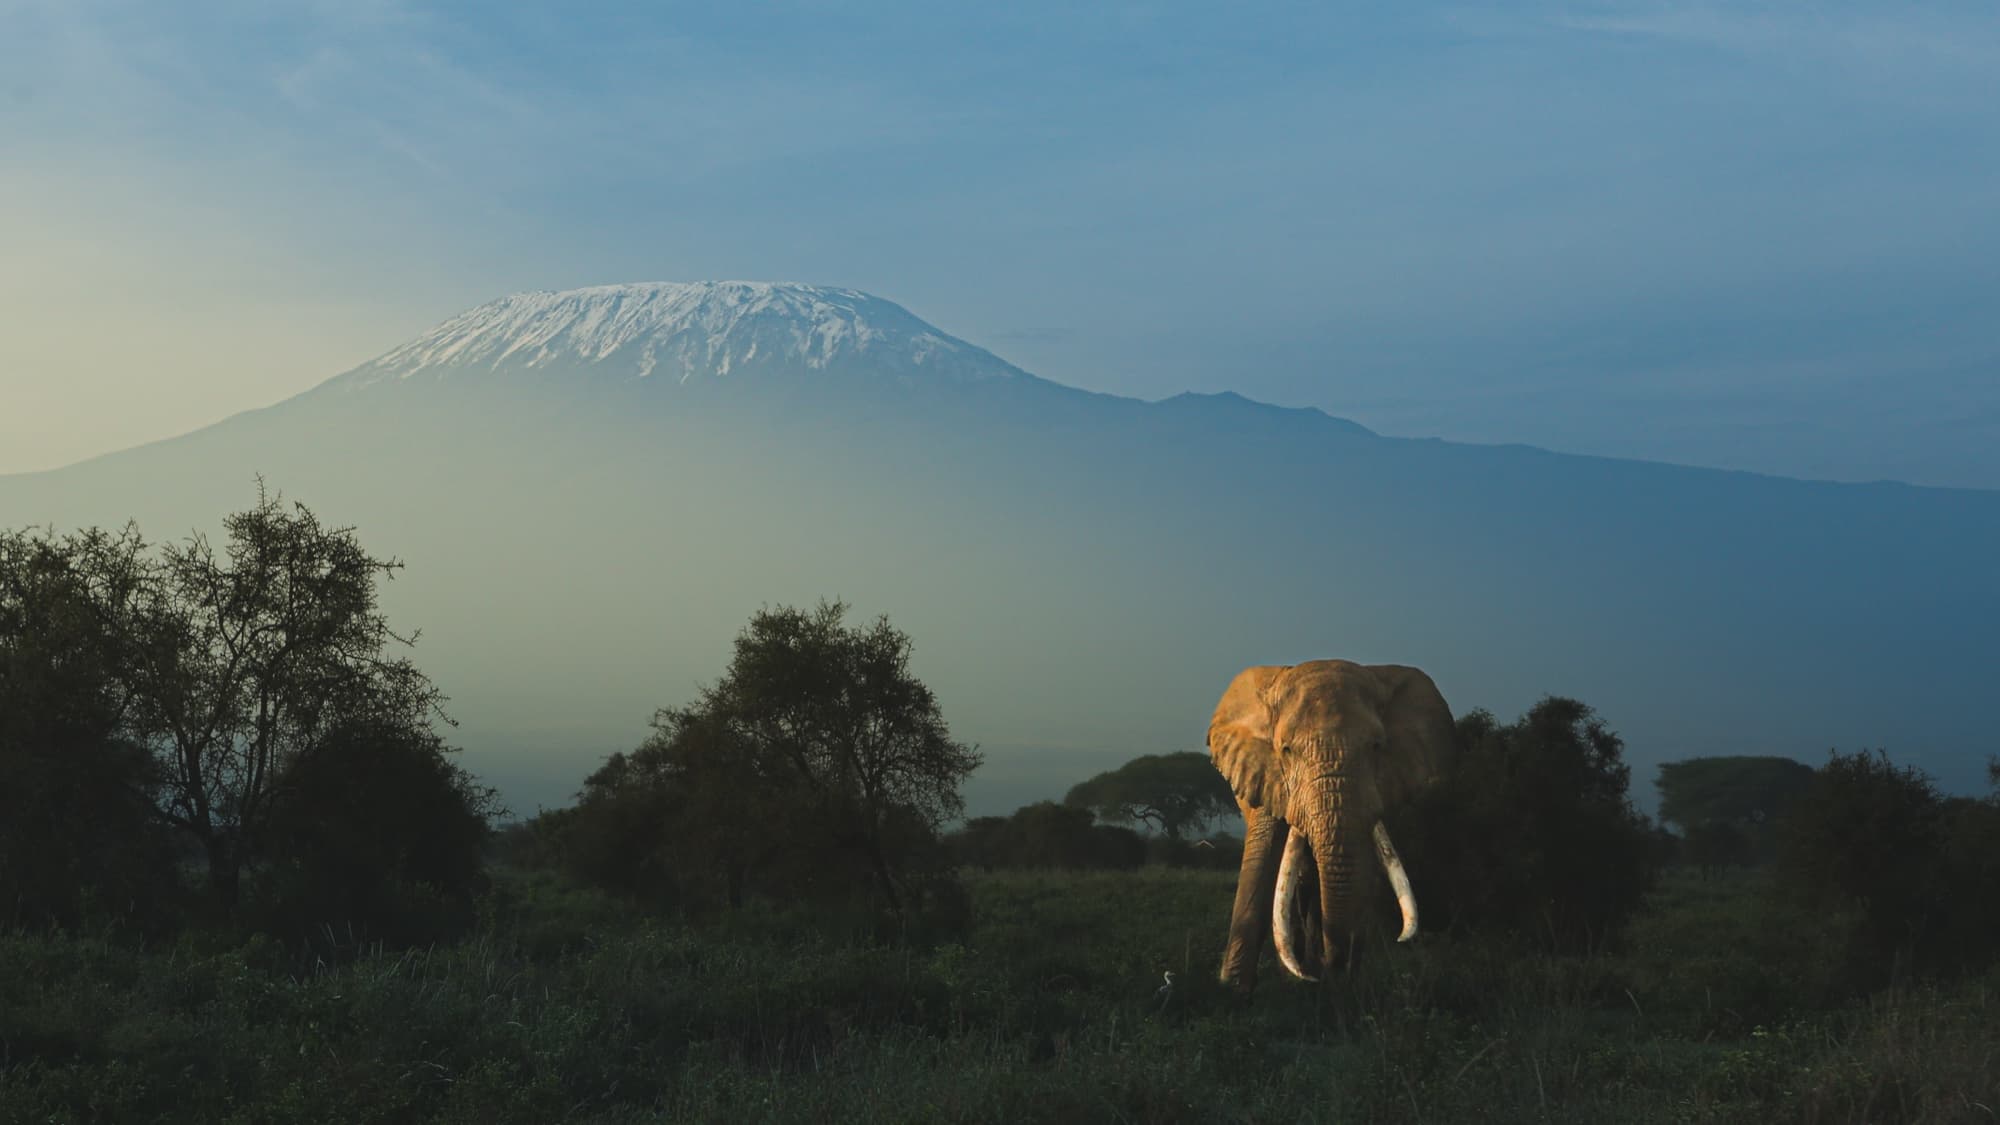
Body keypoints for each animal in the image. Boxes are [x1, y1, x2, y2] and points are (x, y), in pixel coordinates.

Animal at [1207, 660, 1457, 988]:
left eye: (1376, 747)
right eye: (1286, 750)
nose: (1333, 965)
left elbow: (1363, 872)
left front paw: (1343, 986)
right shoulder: (1266, 776)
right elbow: (1261, 864)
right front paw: (1233, 991)